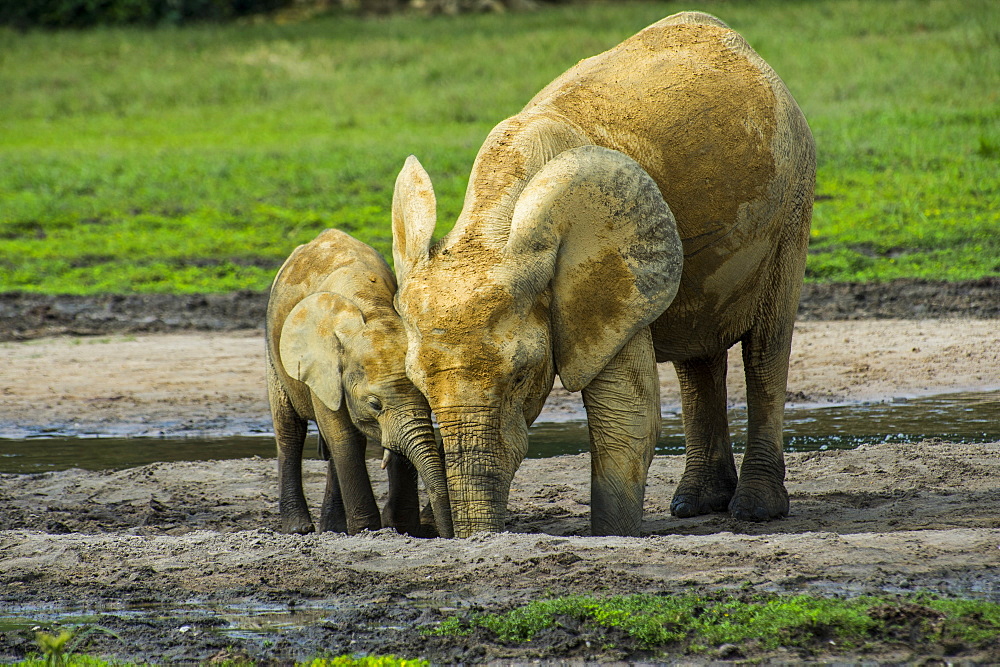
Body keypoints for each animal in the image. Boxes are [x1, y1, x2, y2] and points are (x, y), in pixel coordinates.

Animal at [266, 228, 454, 536]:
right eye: (374, 404)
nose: (447, 535)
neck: (373, 310)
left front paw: (402, 529)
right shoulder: (323, 368)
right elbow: (344, 437)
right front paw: (367, 530)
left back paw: (332, 529)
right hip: (274, 354)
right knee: (290, 430)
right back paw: (299, 529)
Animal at [388, 13, 812, 540]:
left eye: (522, 376)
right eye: (418, 385)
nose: (463, 535)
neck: (491, 222)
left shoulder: (605, 277)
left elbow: (627, 418)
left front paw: (611, 535)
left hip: (793, 197)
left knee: (765, 348)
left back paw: (755, 510)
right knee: (696, 355)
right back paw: (695, 505)